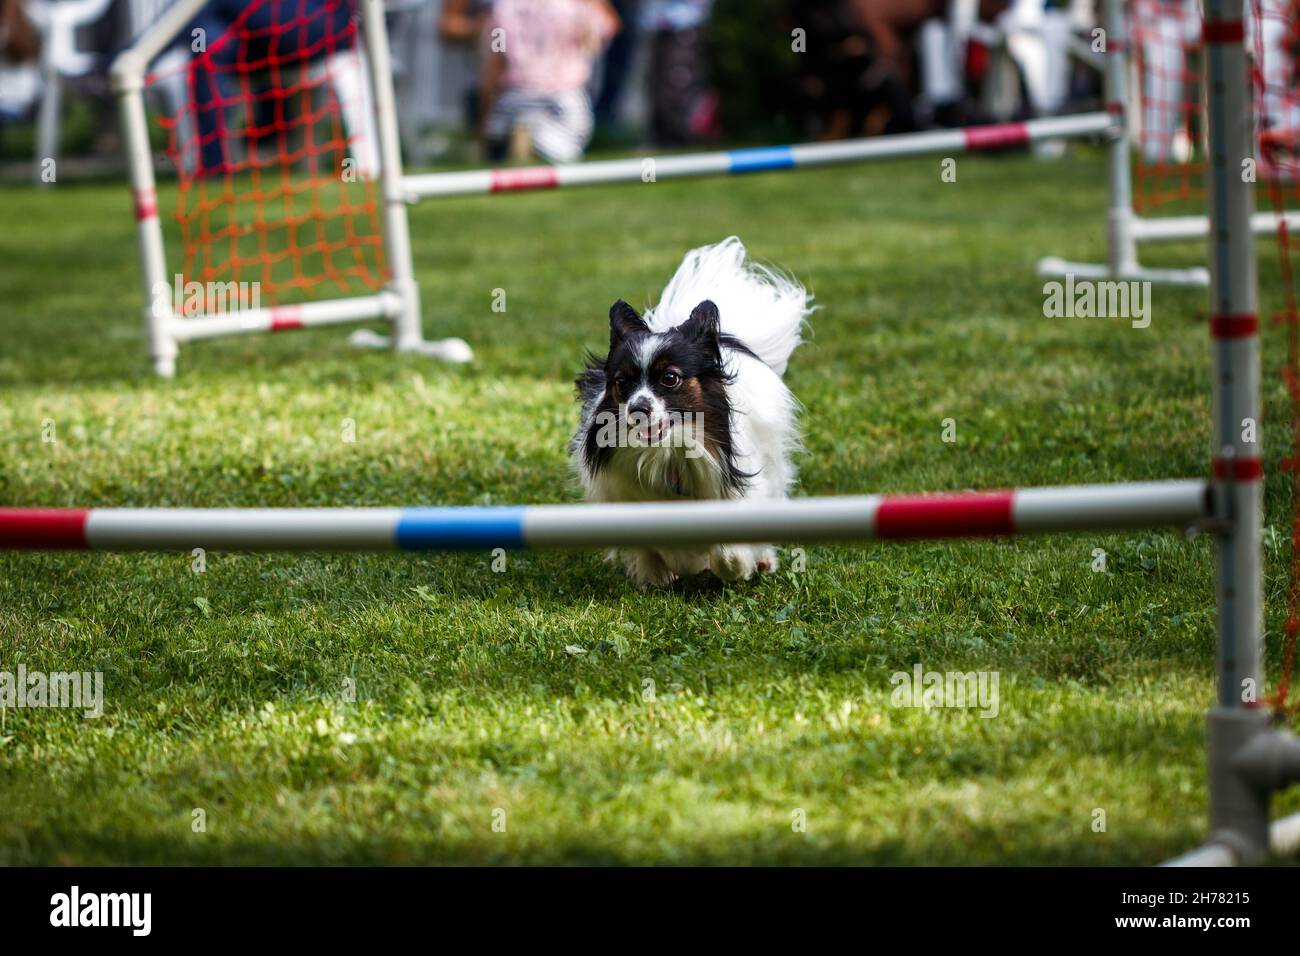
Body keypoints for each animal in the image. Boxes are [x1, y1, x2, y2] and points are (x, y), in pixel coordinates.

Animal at [572, 238, 806, 590]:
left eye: (670, 378)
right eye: (622, 382)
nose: (638, 409)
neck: (668, 451)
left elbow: (726, 549)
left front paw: (737, 565)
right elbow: (657, 545)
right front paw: (665, 570)